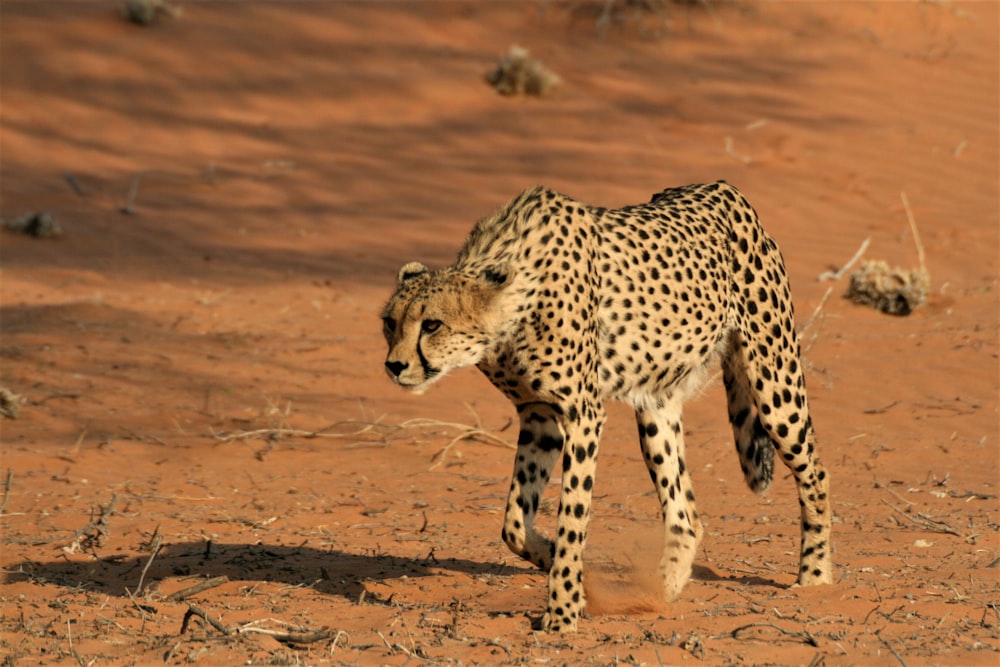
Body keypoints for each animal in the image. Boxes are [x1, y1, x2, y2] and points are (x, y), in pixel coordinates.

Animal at [378, 181, 832, 632]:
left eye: (432, 324)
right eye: (390, 322)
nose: (394, 365)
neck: (513, 306)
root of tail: (726, 190)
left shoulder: (583, 415)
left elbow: (572, 518)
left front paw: (563, 611)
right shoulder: (539, 415)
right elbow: (514, 526)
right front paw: (576, 581)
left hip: (775, 383)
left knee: (815, 472)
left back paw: (815, 575)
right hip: (655, 410)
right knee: (685, 514)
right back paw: (658, 592)